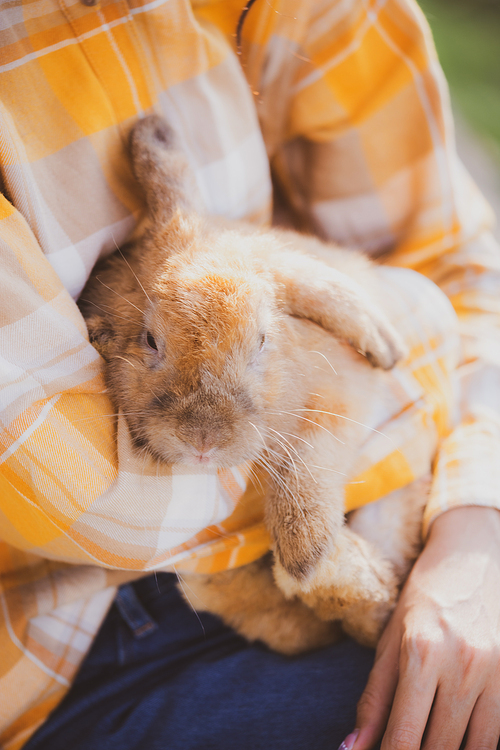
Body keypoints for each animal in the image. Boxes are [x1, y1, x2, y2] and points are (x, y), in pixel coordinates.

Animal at [79, 114, 430, 656]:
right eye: (150, 340)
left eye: (262, 339)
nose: (203, 439)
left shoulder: (339, 407)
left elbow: (304, 473)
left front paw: (306, 556)